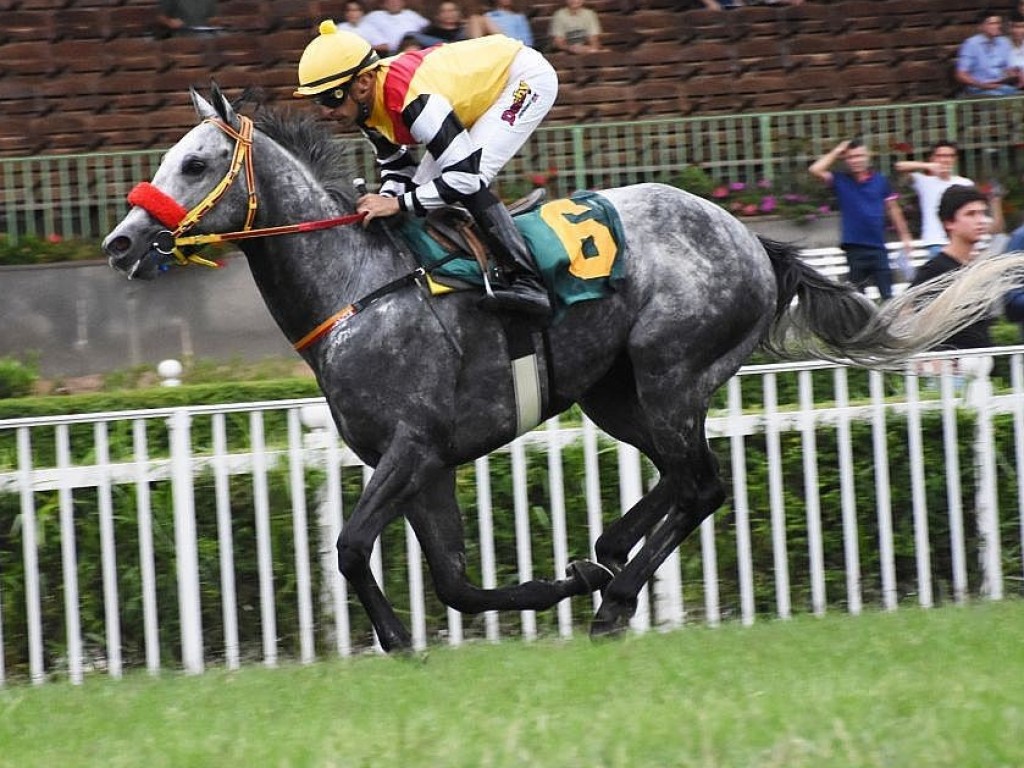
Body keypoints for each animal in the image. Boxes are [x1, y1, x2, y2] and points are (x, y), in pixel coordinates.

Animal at [105, 88, 1024, 655]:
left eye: (194, 164)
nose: (119, 242)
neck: (359, 289)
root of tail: (750, 238)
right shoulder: (422, 466)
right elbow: (456, 584)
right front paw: (552, 585)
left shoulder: (412, 446)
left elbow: (352, 546)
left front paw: (398, 641)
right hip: (616, 392)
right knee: (680, 479)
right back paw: (607, 559)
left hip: (671, 369)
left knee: (701, 484)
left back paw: (616, 599)